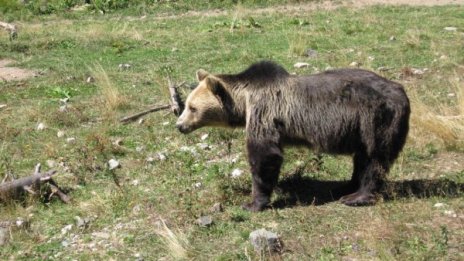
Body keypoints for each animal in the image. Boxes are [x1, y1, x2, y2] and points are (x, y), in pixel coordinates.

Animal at [177, 61, 410, 211]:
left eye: (192, 108)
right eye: (187, 104)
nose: (180, 125)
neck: (243, 101)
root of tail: (402, 92)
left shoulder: (264, 112)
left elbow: (264, 155)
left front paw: (253, 203)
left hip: (377, 118)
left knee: (374, 158)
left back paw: (357, 197)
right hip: (361, 127)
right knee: (362, 157)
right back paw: (345, 186)